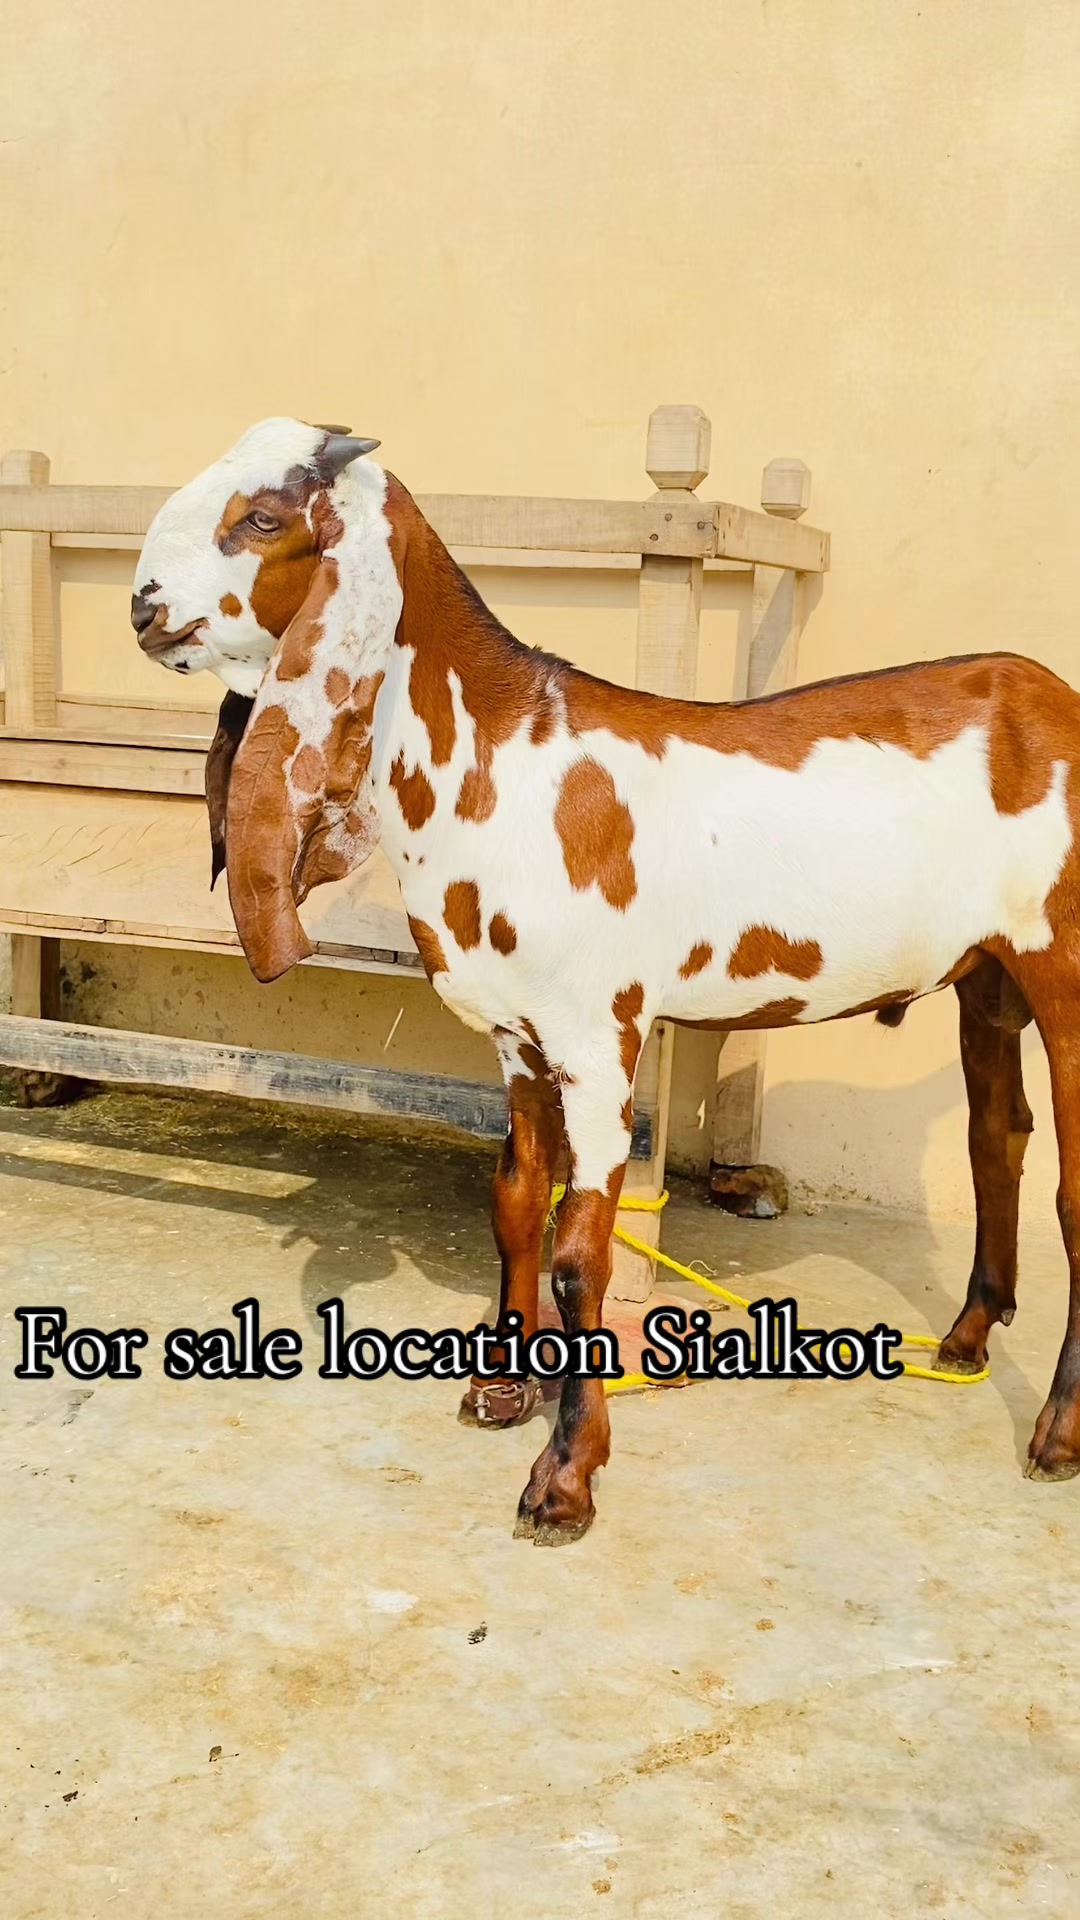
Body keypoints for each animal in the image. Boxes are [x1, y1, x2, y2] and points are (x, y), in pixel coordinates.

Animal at [132, 418, 1080, 1542]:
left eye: (264, 518)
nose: (142, 607)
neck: (507, 760)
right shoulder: (517, 1031)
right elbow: (514, 1202)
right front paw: (501, 1388)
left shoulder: (597, 1036)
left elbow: (582, 1251)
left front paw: (566, 1476)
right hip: (989, 972)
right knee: (996, 1138)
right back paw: (969, 1338)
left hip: (1069, 969)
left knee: (1071, 1188)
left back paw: (1058, 1433)